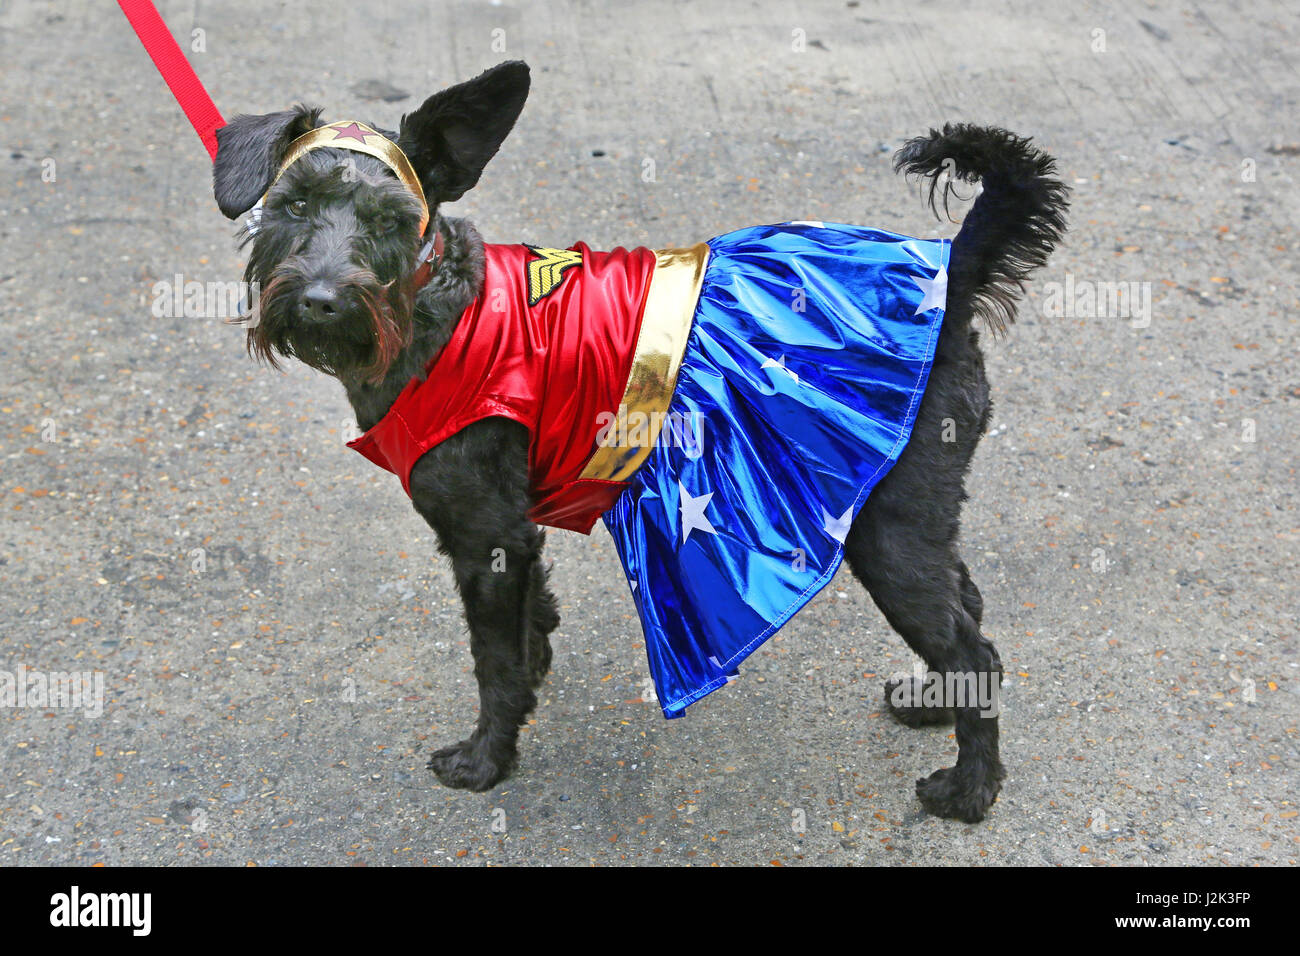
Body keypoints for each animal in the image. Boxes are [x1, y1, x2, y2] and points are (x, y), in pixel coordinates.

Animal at [210, 59, 1066, 822]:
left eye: (390, 221)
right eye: (292, 205)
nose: (321, 300)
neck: (434, 311)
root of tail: (952, 276)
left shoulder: (485, 536)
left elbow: (492, 662)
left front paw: (487, 758)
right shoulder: (515, 534)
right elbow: (528, 625)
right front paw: (537, 666)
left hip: (889, 530)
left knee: (974, 649)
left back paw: (968, 791)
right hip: (916, 513)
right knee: (968, 610)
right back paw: (932, 706)